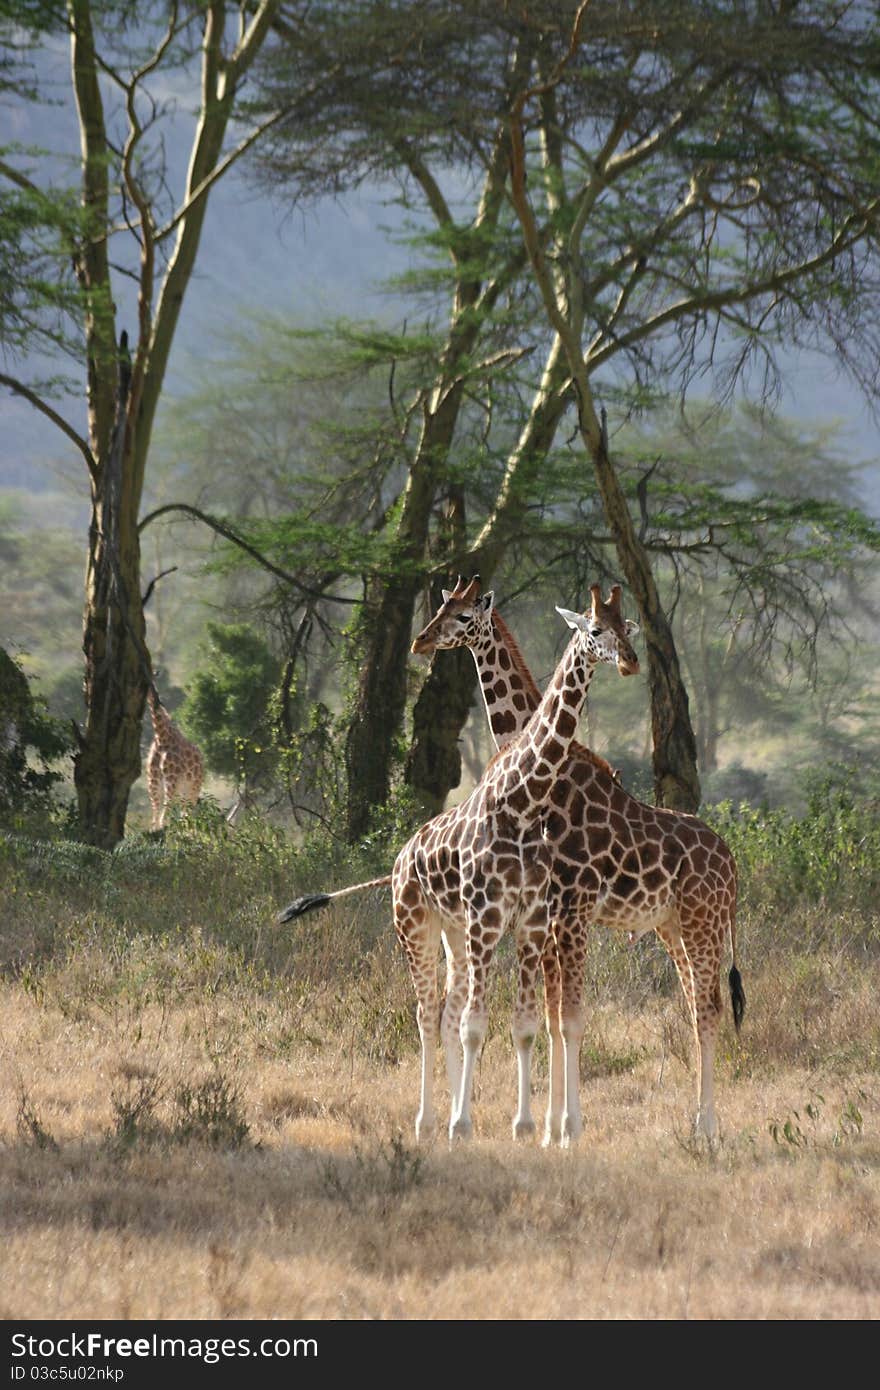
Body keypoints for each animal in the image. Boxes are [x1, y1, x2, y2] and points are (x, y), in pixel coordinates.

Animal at [145, 689, 204, 828]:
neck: (162, 738)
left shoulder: (172, 780)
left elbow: (163, 818)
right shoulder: (152, 782)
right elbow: (155, 819)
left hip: (193, 787)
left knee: (189, 814)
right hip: (182, 790)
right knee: (184, 814)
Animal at [278, 586, 633, 1139]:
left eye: (626, 626)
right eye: (597, 629)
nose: (420, 641)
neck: (521, 801)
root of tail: (400, 859)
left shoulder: (533, 921)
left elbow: (530, 1024)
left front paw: (533, 1127)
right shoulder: (500, 920)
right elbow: (485, 1025)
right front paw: (483, 1123)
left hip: (475, 933)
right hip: (424, 931)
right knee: (429, 1015)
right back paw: (431, 1120)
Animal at [411, 572, 739, 1139]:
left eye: (462, 616)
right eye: (440, 608)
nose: (421, 641)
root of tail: (734, 866)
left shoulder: (565, 910)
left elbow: (564, 1019)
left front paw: (562, 1126)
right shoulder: (555, 916)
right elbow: (551, 1017)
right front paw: (551, 1125)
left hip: (703, 923)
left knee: (708, 1009)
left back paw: (705, 1127)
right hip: (673, 926)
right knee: (699, 1003)